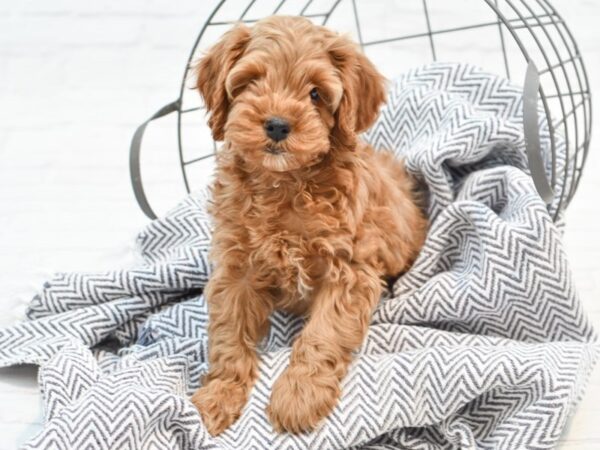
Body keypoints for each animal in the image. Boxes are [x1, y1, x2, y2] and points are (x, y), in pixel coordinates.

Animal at [190, 15, 428, 434]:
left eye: (316, 94)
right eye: (251, 81)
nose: (277, 125)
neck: (284, 185)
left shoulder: (347, 270)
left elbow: (322, 335)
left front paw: (299, 397)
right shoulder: (236, 271)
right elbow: (228, 334)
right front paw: (219, 394)